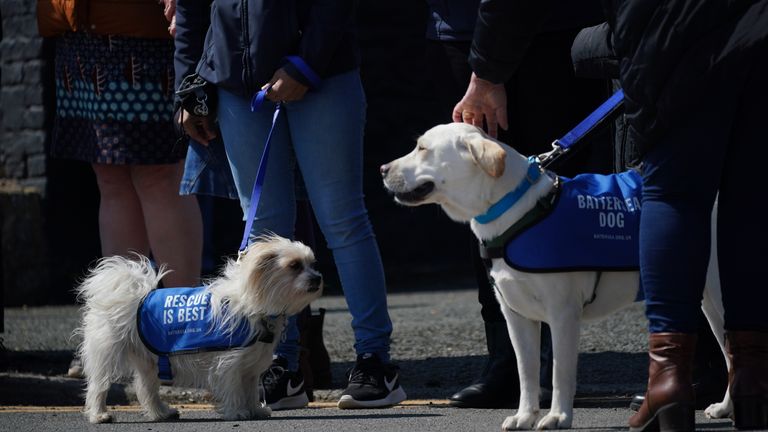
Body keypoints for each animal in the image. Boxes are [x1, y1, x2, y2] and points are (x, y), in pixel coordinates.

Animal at [75, 235, 320, 424]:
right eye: (294, 265)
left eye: (312, 263)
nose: (318, 278)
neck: (254, 304)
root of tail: (128, 292)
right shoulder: (229, 365)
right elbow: (233, 389)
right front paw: (238, 412)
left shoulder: (250, 368)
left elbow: (250, 391)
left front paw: (255, 410)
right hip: (108, 353)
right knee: (99, 386)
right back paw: (99, 415)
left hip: (148, 361)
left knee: (146, 389)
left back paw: (161, 412)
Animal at [380, 123, 728, 430]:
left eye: (423, 149)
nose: (382, 168)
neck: (514, 209)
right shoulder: (516, 315)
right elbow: (526, 372)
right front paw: (524, 416)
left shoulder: (563, 314)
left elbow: (560, 372)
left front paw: (558, 417)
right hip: (708, 302)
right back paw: (726, 407)